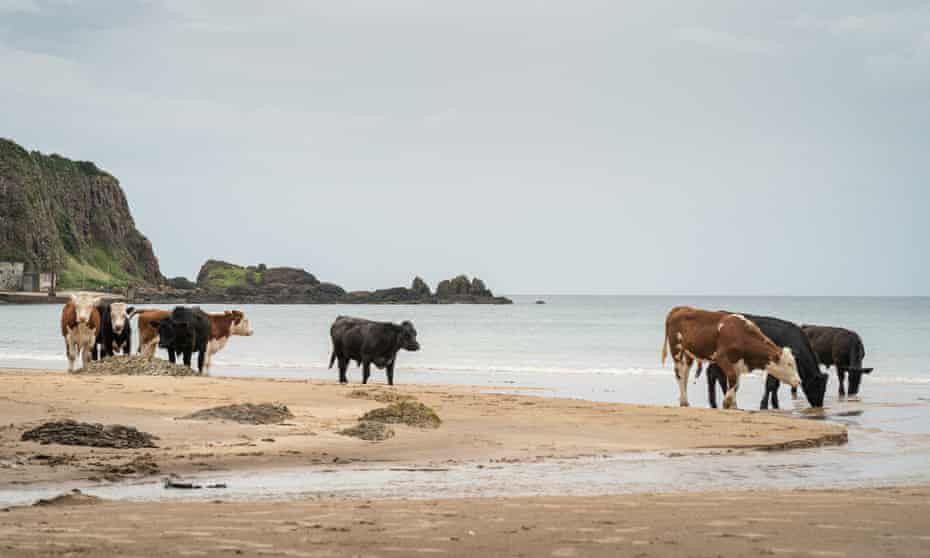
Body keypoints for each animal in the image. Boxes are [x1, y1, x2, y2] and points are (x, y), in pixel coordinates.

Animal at [656, 308, 800, 410]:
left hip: (689, 354)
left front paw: (734, 405)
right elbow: (731, 378)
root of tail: (680, 308)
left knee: (685, 374)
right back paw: (684, 401)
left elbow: (736, 384)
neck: (742, 334)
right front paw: (727, 402)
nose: (798, 381)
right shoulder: (721, 357)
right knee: (679, 374)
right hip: (677, 350)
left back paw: (684, 400)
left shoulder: (738, 363)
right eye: (789, 364)